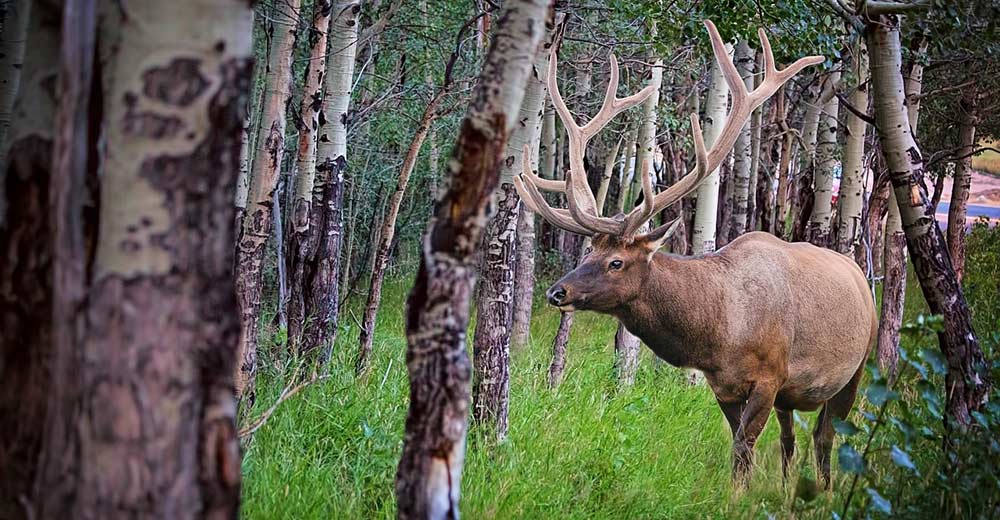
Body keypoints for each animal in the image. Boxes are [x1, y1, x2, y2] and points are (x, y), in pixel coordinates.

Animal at [516, 18, 876, 486]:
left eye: (616, 262)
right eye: (587, 253)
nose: (557, 292)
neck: (720, 334)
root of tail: (861, 276)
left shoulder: (770, 375)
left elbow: (742, 450)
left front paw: (738, 497)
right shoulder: (724, 385)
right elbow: (742, 449)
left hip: (857, 366)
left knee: (825, 437)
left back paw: (825, 491)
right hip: (794, 395)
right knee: (790, 439)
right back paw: (787, 488)